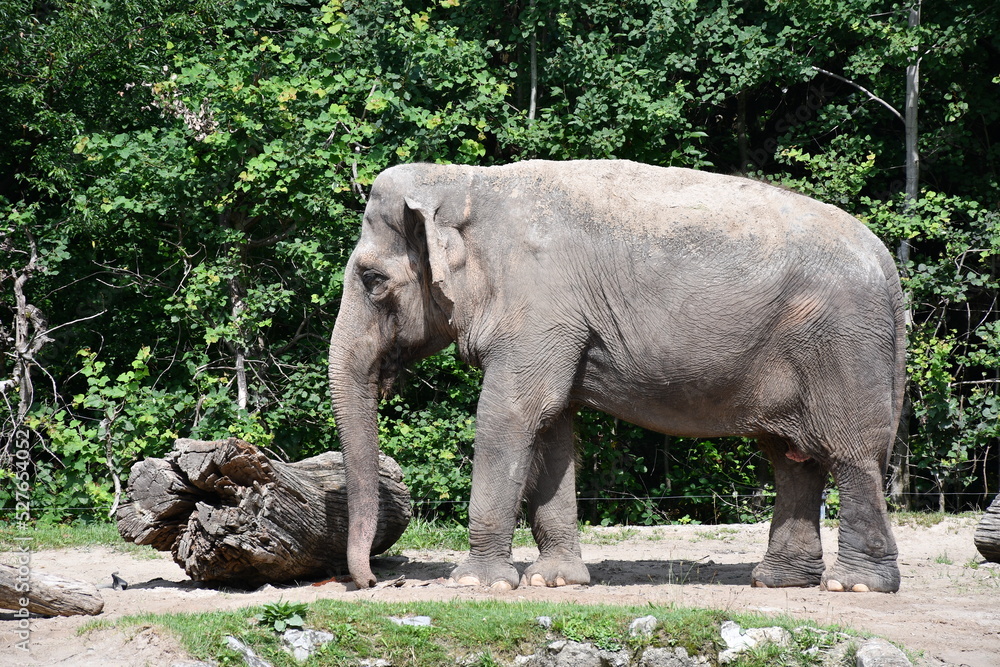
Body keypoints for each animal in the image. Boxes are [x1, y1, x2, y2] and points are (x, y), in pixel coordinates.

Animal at [328, 159, 906, 594]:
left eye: (372, 280)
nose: (375, 582)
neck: (466, 183)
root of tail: (887, 262)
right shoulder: (556, 321)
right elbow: (553, 425)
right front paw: (554, 582)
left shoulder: (541, 303)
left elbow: (511, 413)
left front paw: (475, 583)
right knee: (791, 457)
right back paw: (778, 581)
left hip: (843, 345)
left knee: (850, 453)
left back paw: (854, 585)